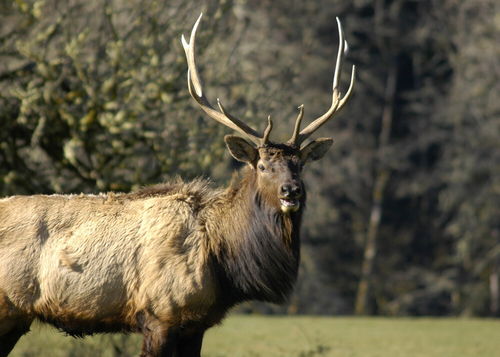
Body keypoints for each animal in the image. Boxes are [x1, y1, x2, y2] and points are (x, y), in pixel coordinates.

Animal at [0, 13, 354, 356]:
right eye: (263, 166)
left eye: (300, 165)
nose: (291, 191)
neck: (222, 263)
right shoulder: (159, 314)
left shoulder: (195, 326)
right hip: (7, 308)